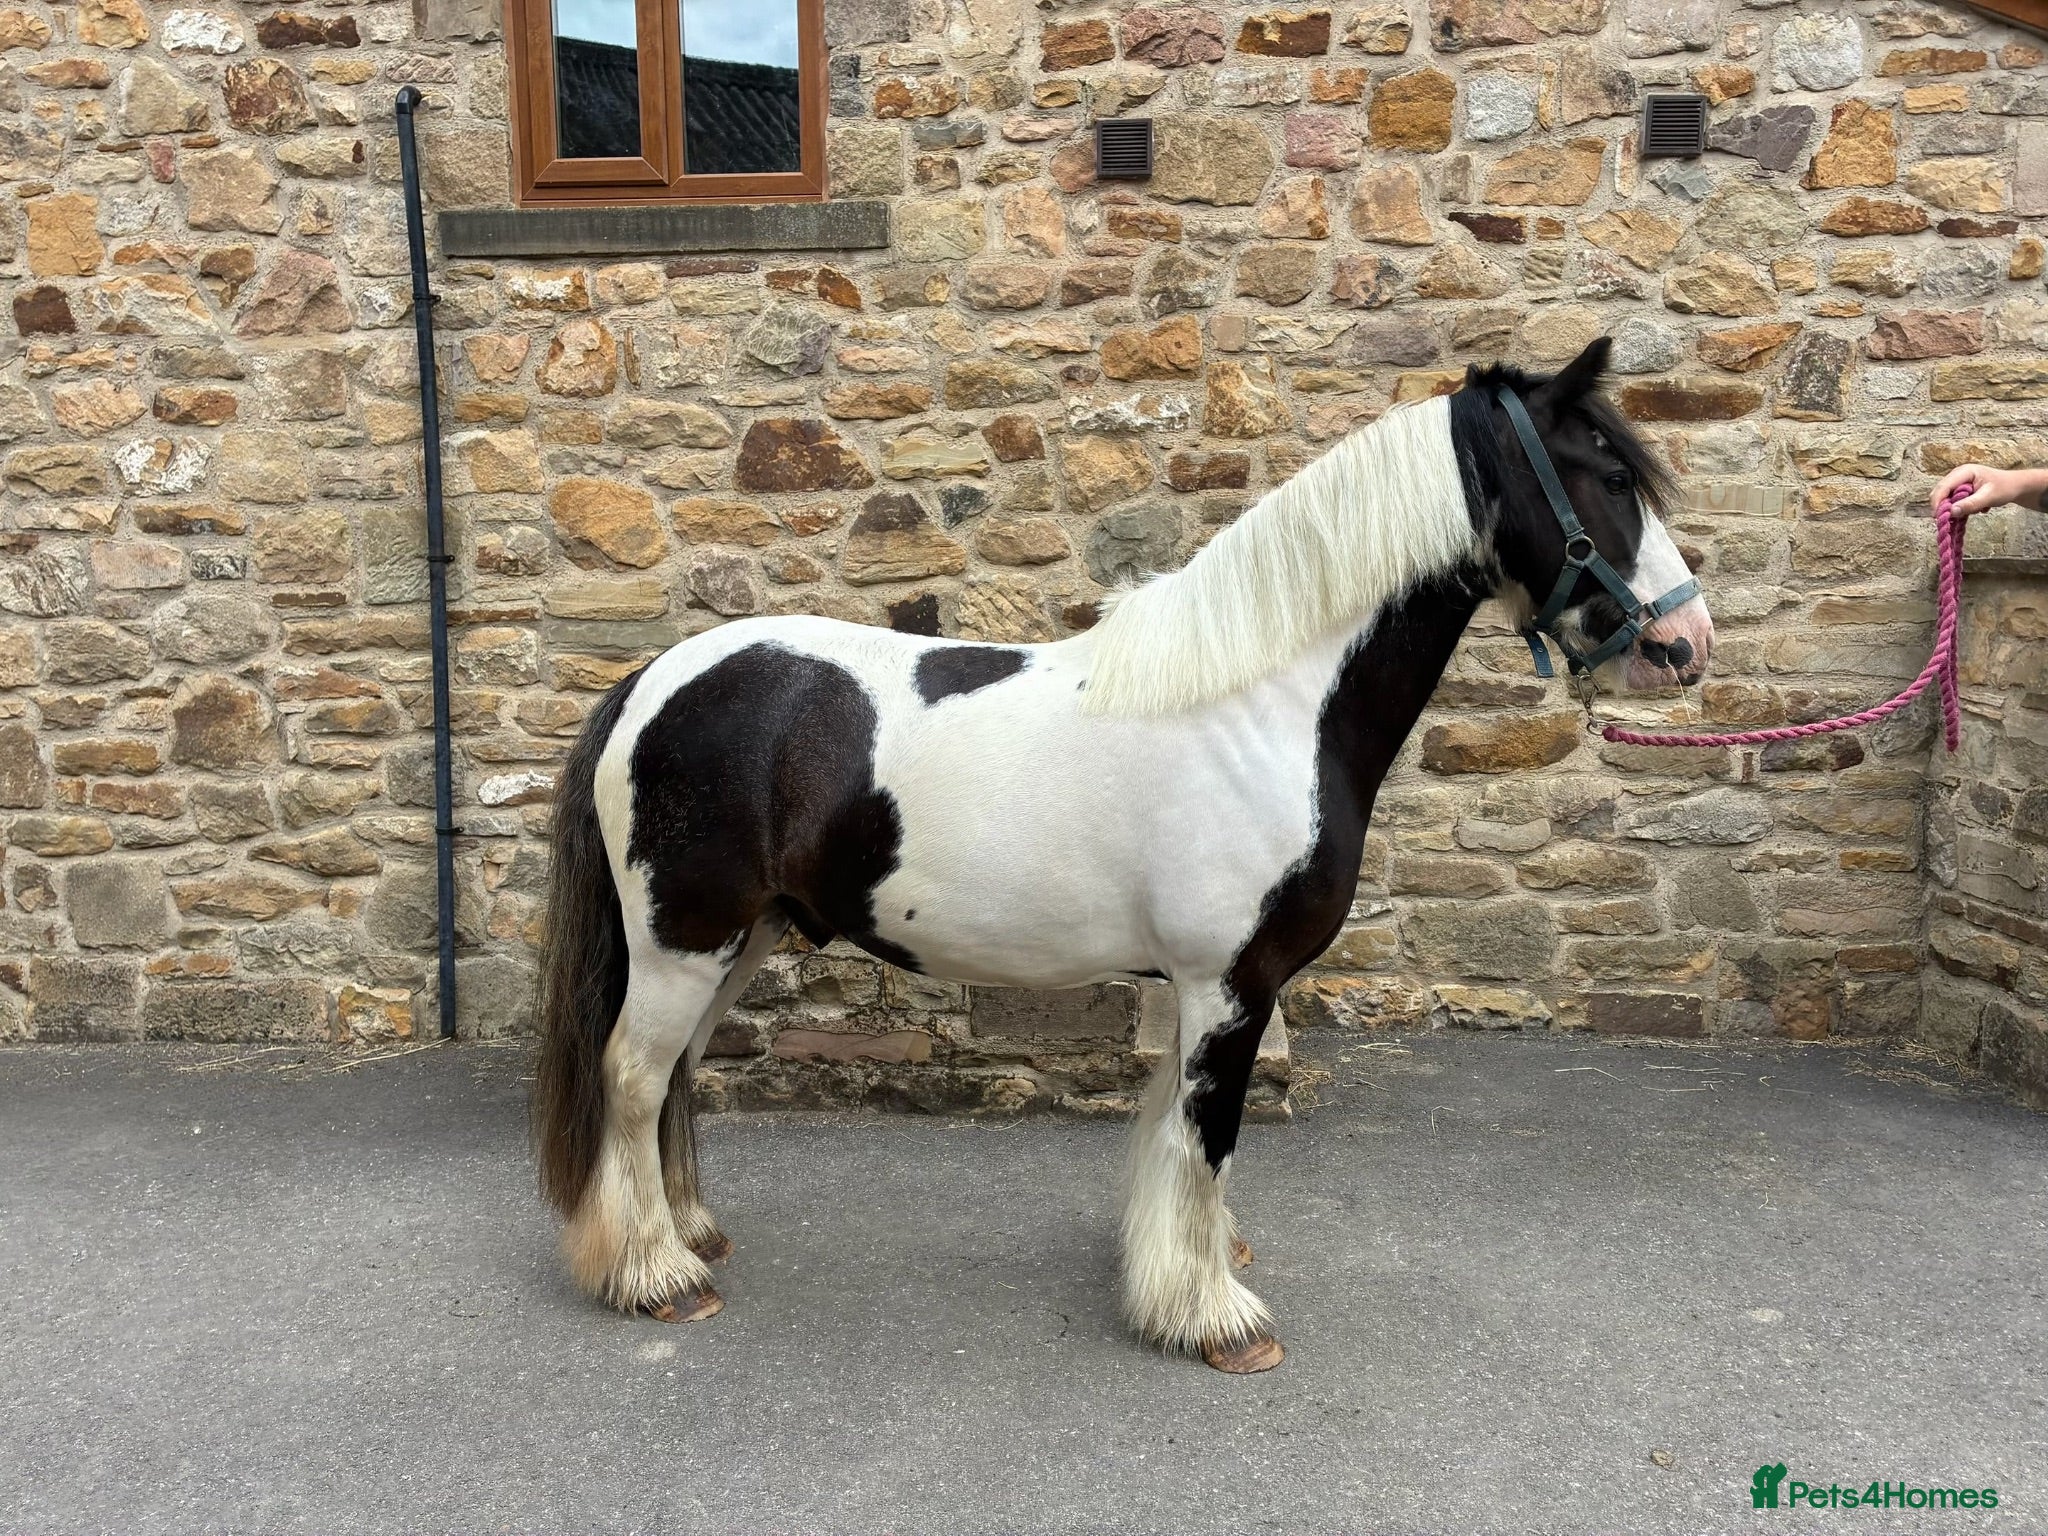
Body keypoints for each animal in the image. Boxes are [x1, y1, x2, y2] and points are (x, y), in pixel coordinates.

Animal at [531, 338, 1716, 1373]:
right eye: (1611, 474)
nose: (1685, 646)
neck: (1263, 704)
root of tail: (651, 681)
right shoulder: (1228, 984)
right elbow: (1206, 1136)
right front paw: (1216, 1322)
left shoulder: (1210, 987)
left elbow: (1174, 1135)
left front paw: (1189, 1271)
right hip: (686, 940)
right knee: (633, 1075)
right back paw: (656, 1275)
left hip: (741, 940)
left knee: (675, 1074)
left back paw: (692, 1235)